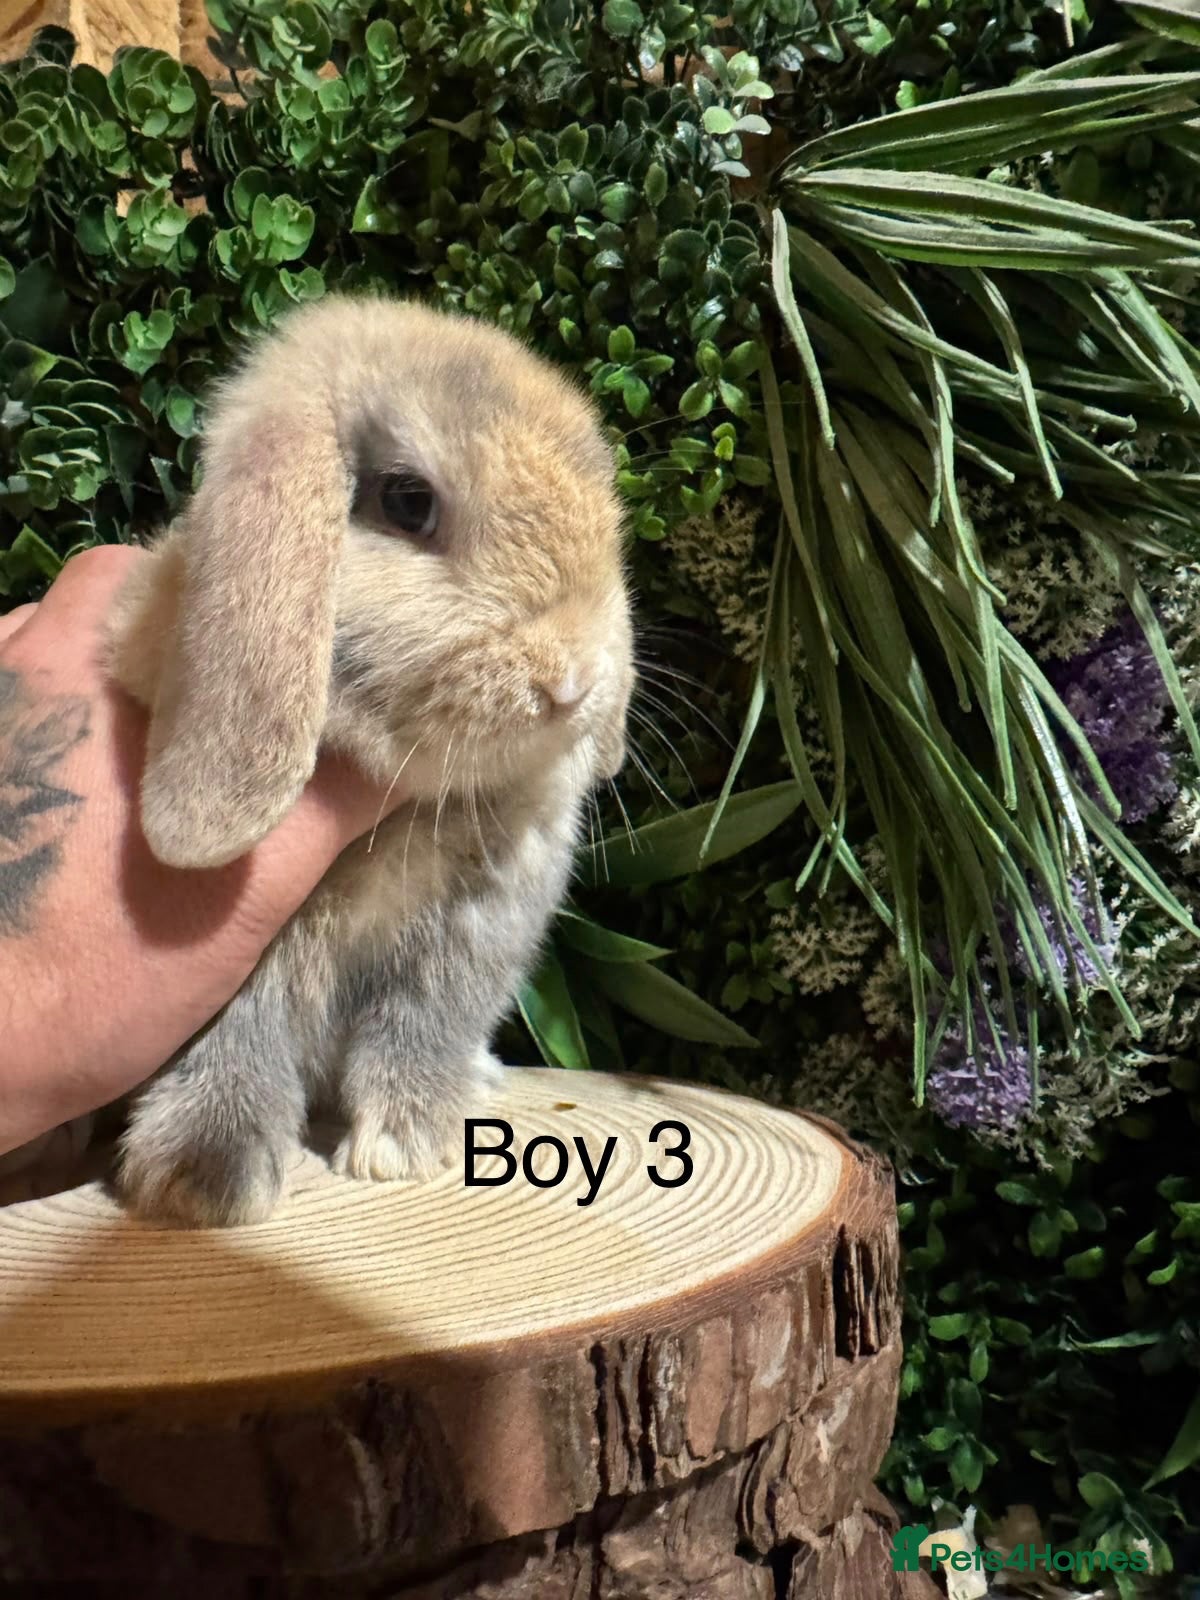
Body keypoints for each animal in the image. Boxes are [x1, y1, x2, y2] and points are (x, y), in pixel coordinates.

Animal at [105, 294, 634, 1227]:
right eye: (408, 501)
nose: (572, 680)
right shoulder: (231, 963)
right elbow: (233, 1033)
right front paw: (202, 1179)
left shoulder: (479, 928)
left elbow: (425, 1024)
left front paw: (407, 1145)